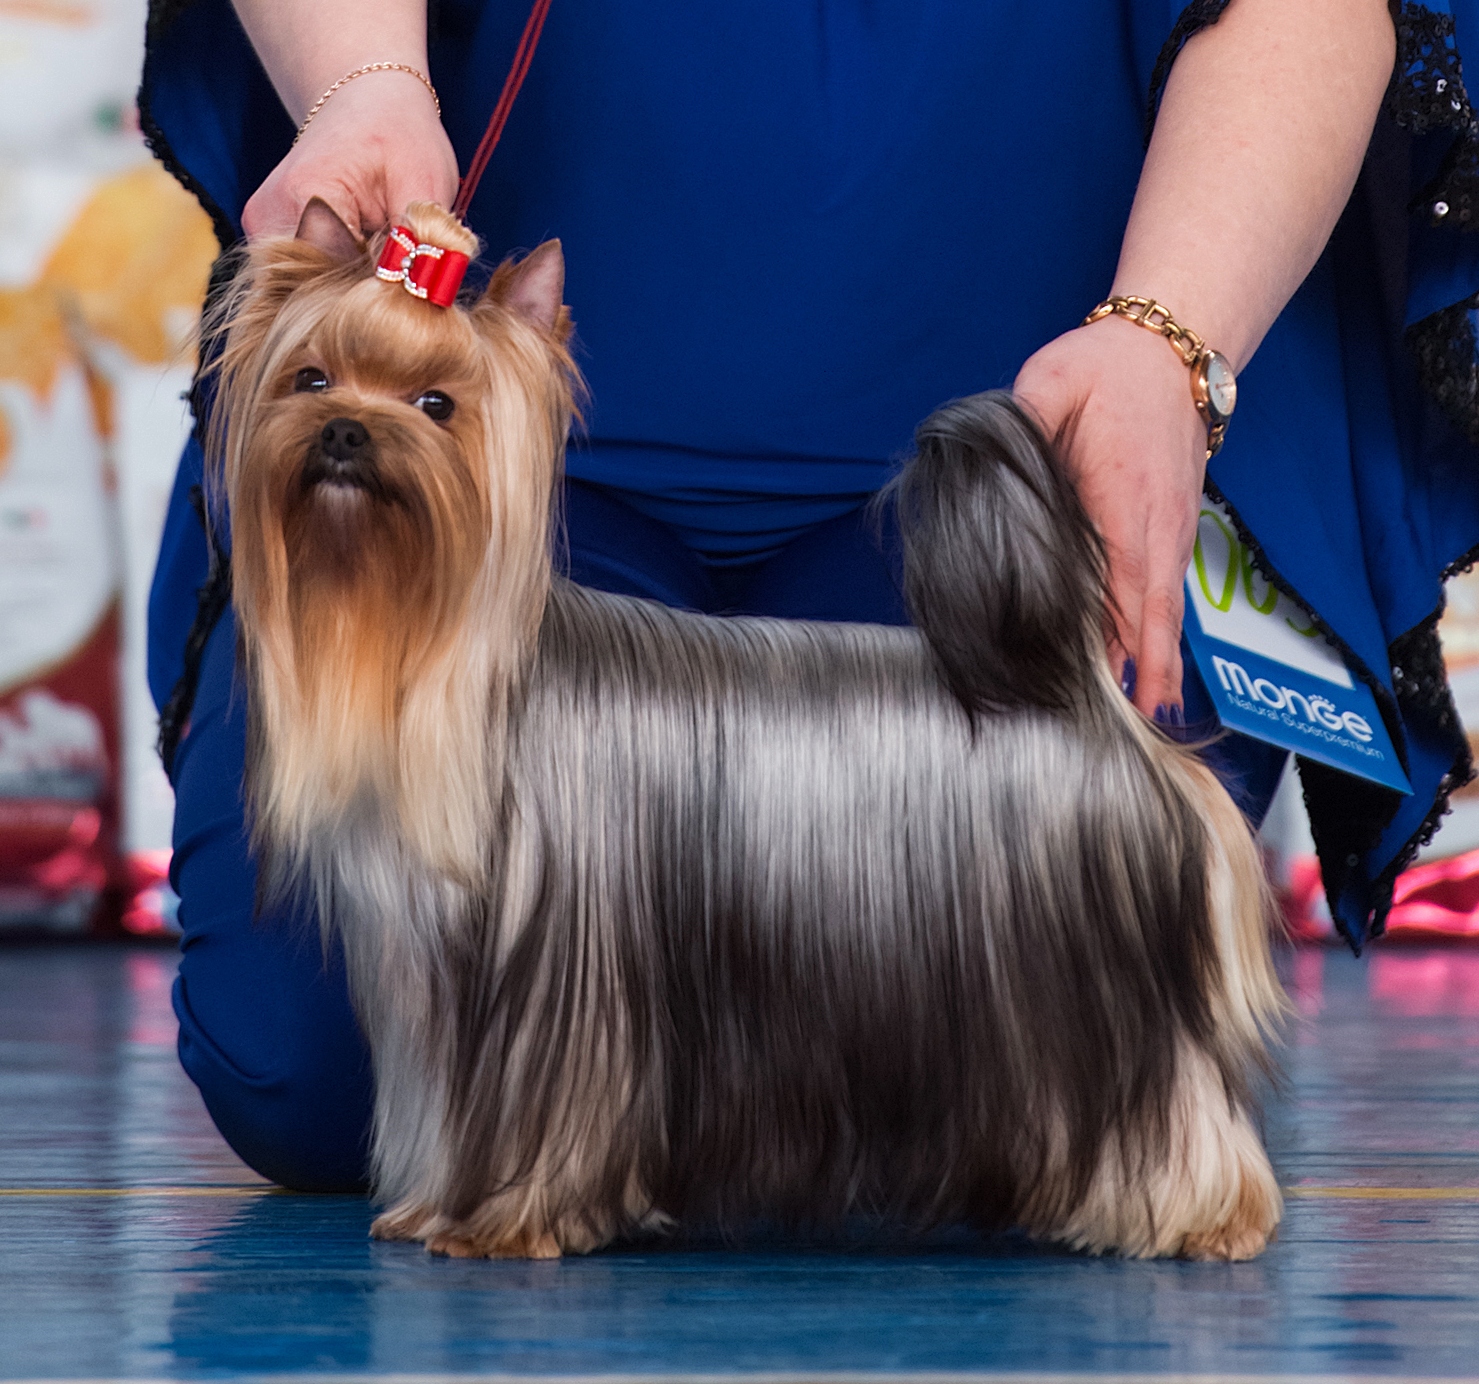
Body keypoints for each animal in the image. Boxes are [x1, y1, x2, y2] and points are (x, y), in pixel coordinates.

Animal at [202, 196, 1289, 1265]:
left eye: (437, 405)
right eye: (310, 377)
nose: (344, 431)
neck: (443, 649)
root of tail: (1068, 681)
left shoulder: (559, 994)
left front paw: (505, 1221)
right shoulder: (436, 990)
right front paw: (431, 1208)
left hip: (1086, 986)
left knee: (1169, 1089)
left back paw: (1201, 1214)